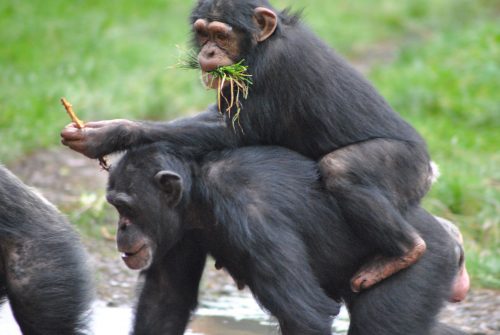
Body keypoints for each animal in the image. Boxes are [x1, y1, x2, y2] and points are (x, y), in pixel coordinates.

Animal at [59, 0, 468, 294]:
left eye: (221, 35)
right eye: (202, 33)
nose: (208, 52)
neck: (260, 45)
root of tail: (431, 170)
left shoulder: (273, 66)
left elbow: (234, 131)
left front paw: (107, 134)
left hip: (407, 168)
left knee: (343, 169)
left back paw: (404, 252)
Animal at [106, 142, 468, 335]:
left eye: (125, 207)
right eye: (115, 206)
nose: (121, 228)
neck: (199, 195)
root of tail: (450, 240)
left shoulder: (254, 218)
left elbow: (304, 314)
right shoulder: (179, 234)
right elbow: (165, 299)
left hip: (420, 268)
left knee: (383, 324)